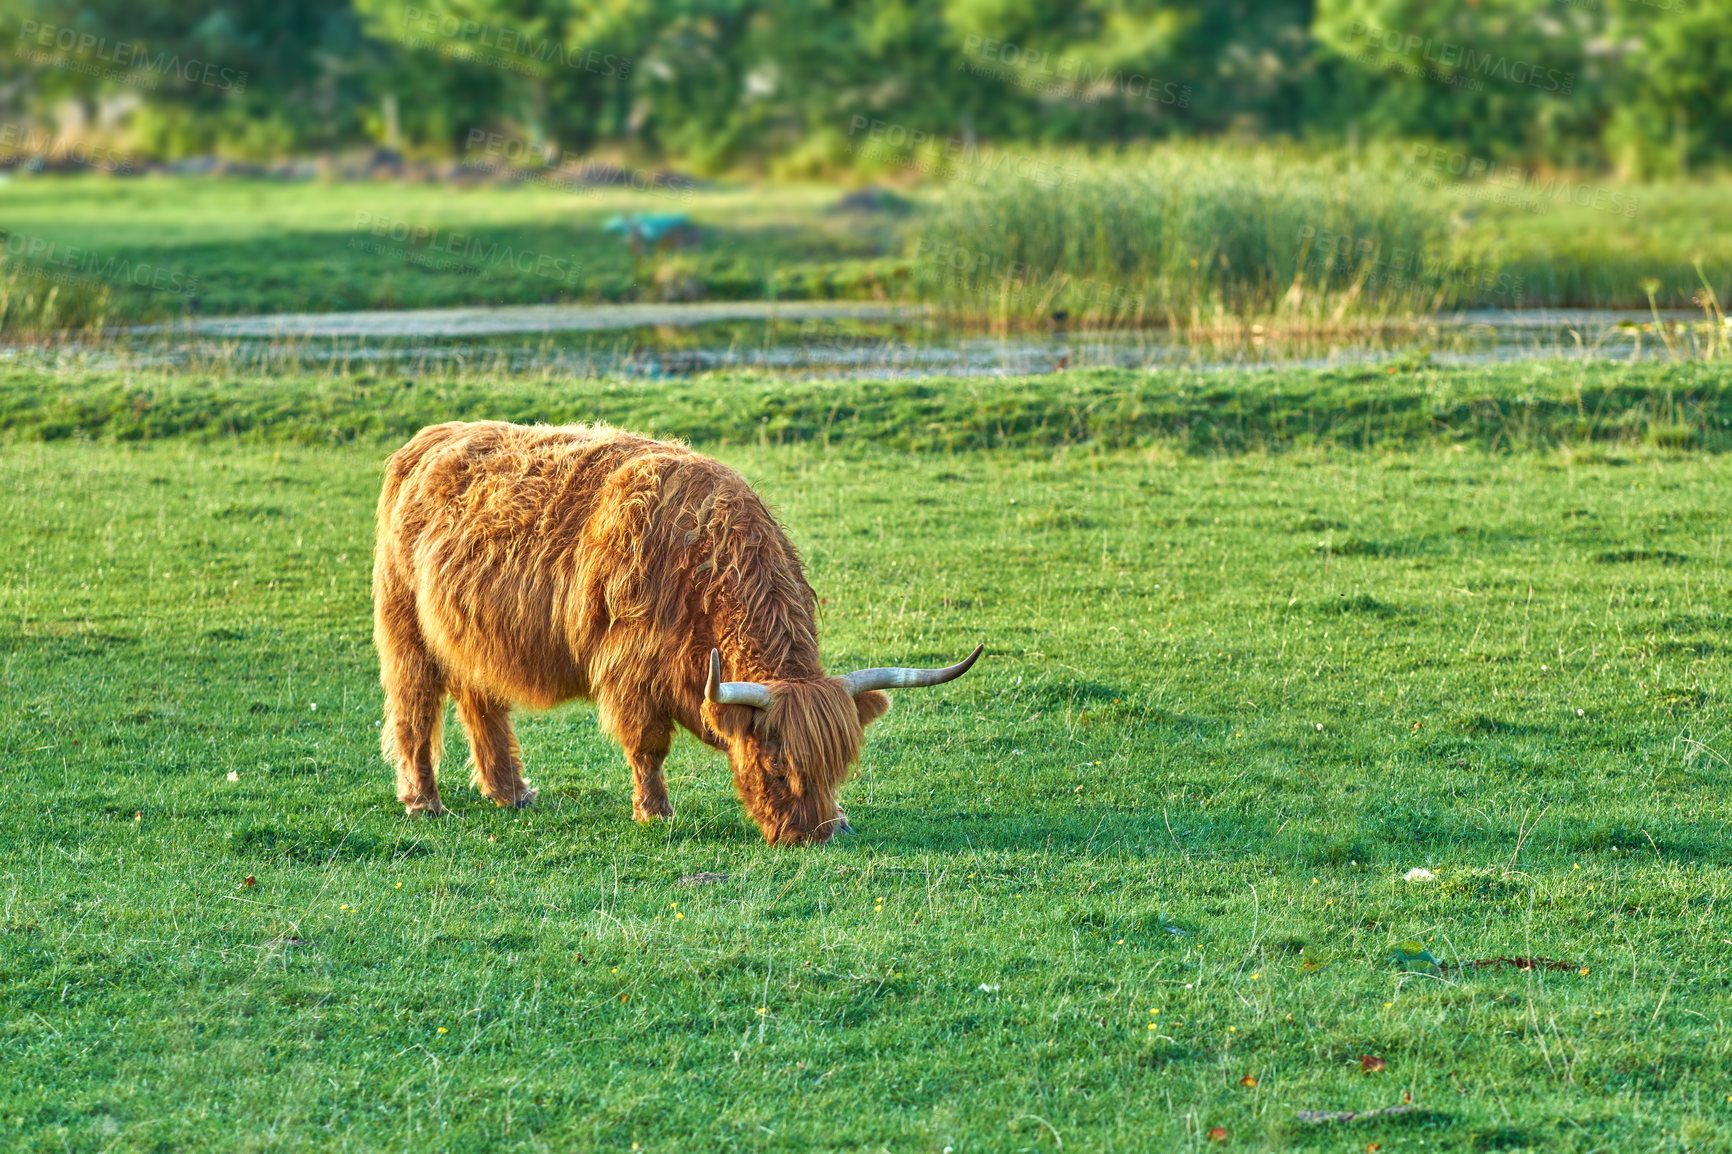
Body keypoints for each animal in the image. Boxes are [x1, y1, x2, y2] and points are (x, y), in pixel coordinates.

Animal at [374, 417, 983, 842]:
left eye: (838, 767)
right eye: (775, 764)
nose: (813, 834)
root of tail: (430, 437)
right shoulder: (630, 671)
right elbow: (648, 747)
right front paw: (655, 813)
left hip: (470, 637)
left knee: (481, 702)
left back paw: (511, 793)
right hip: (406, 629)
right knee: (414, 711)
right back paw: (424, 801)